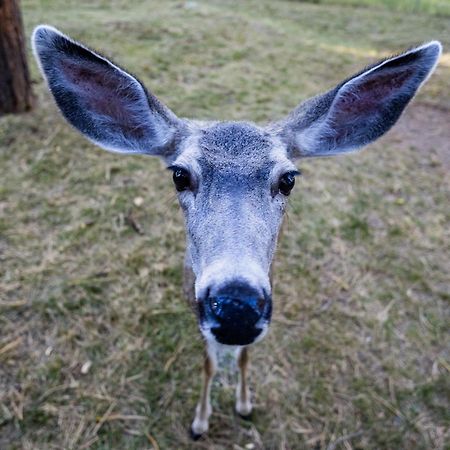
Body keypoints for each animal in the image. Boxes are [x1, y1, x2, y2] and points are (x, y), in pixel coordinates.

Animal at [32, 25, 442, 440]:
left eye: (288, 179)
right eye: (180, 175)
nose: (236, 308)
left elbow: (244, 358)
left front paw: (244, 404)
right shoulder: (194, 303)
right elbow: (209, 364)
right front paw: (200, 421)